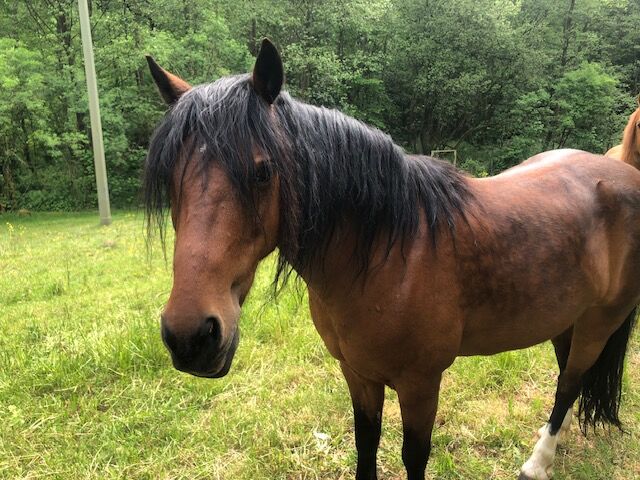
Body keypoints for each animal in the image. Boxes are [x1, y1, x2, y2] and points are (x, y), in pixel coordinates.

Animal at [144, 41, 640, 480]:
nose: (191, 337)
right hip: (564, 319)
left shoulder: (421, 383)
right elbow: (366, 446)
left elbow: (413, 457)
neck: (387, 254)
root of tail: (624, 174)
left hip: (598, 323)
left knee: (571, 382)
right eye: (169, 178)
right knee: (567, 381)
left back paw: (537, 463)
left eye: (263, 172)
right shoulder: (359, 374)